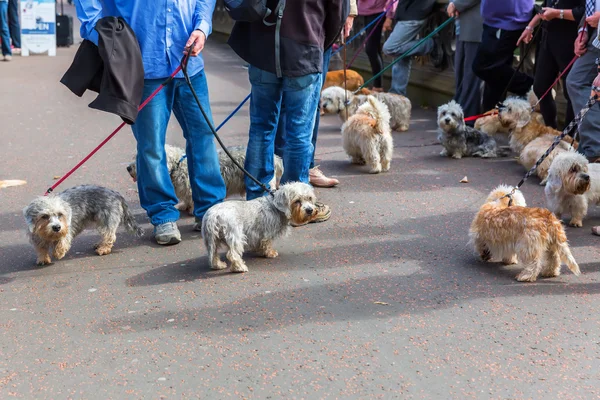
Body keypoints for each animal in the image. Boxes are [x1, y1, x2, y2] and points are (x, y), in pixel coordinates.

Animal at [126, 144, 284, 212]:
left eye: (140, 160)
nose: (128, 168)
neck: (178, 165)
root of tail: (274, 157)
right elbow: (186, 200)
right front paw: (184, 206)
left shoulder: (191, 188)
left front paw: (192, 210)